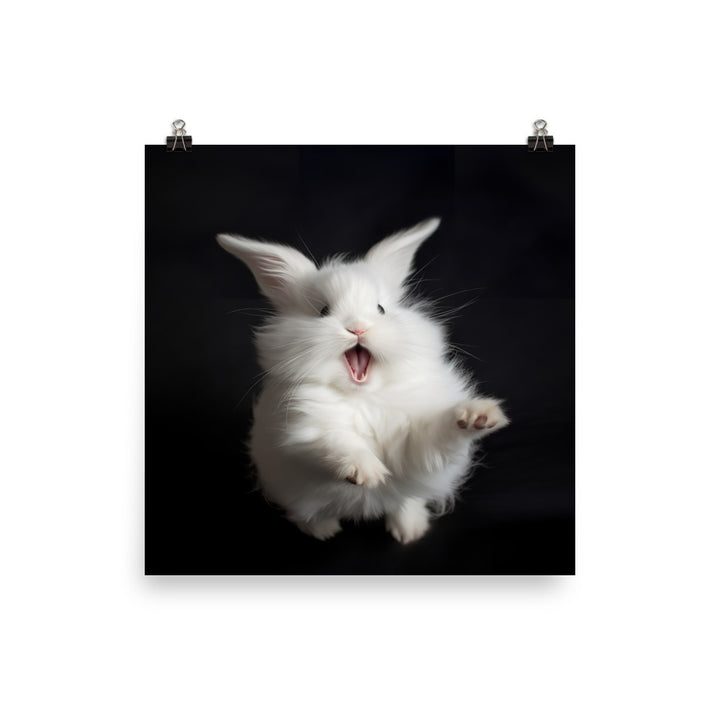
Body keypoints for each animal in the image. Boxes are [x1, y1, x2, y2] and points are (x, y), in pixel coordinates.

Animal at [216, 218, 509, 544]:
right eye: (323, 311)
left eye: (381, 309)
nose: (358, 328)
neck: (363, 395)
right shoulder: (303, 429)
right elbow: (334, 442)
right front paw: (366, 472)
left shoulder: (418, 443)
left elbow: (440, 432)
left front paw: (478, 416)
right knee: (303, 511)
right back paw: (324, 530)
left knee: (404, 501)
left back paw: (410, 530)